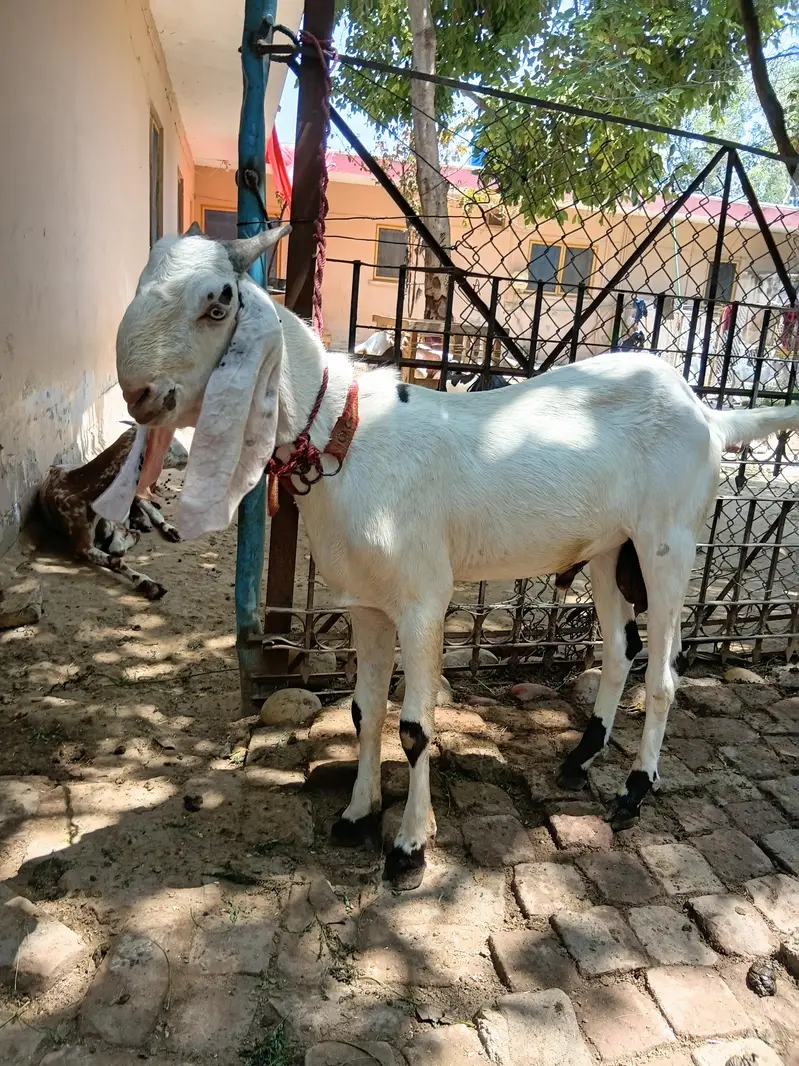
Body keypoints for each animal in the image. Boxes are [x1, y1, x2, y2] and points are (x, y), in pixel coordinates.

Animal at [38, 428, 179, 600]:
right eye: (168, 442)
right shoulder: (83, 544)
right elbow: (115, 555)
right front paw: (149, 585)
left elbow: (116, 547)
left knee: (150, 509)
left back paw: (169, 530)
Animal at [114, 226, 799, 890]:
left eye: (219, 303)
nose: (139, 394)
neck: (347, 433)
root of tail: (708, 414)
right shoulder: (366, 602)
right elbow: (364, 711)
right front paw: (357, 815)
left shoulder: (422, 600)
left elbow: (414, 728)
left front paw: (410, 848)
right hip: (610, 548)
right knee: (619, 648)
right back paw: (580, 758)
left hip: (669, 541)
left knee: (662, 671)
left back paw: (634, 789)